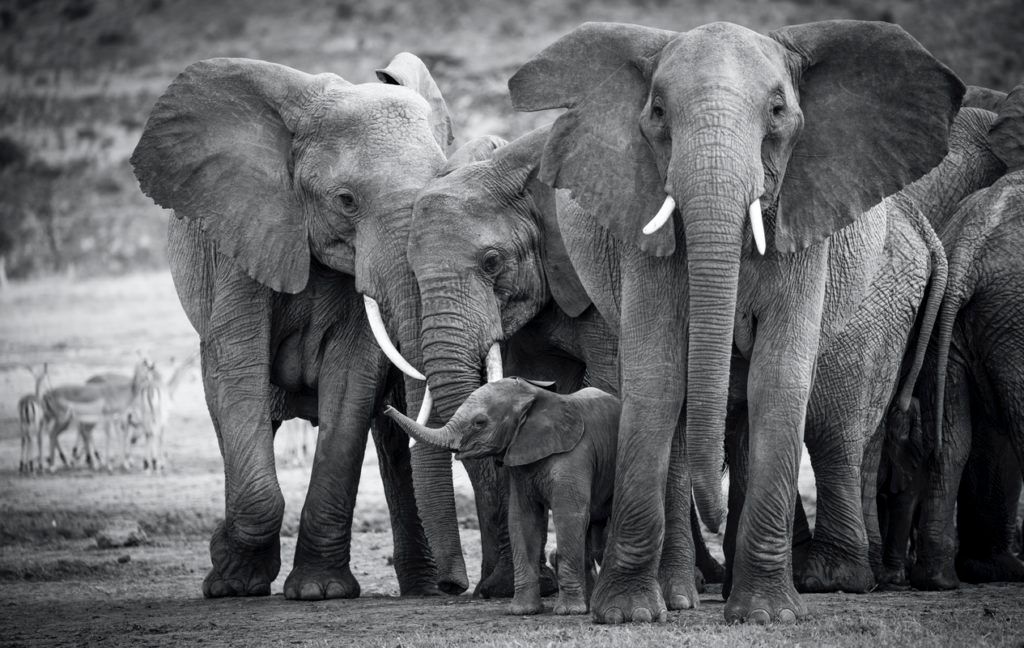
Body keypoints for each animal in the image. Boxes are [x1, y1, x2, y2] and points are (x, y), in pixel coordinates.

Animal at [130, 53, 465, 599]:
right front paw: (233, 578)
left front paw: (319, 591)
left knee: (390, 440)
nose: (459, 587)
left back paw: (424, 588)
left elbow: (350, 385)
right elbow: (238, 369)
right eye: (346, 200)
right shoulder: (241, 237)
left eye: (442, 184)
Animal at [386, 378, 620, 616]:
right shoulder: (519, 461)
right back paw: (588, 605)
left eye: (480, 422)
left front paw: (567, 612)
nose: (386, 408)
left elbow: (569, 516)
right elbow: (522, 519)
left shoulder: (575, 455)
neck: (535, 397)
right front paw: (521, 611)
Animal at [508, 20, 963, 623]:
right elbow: (659, 377)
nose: (716, 513)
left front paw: (767, 615)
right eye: (657, 111)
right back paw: (679, 596)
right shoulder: (642, 225)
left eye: (778, 110)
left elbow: (781, 377)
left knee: (817, 425)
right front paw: (627, 614)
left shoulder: (804, 224)